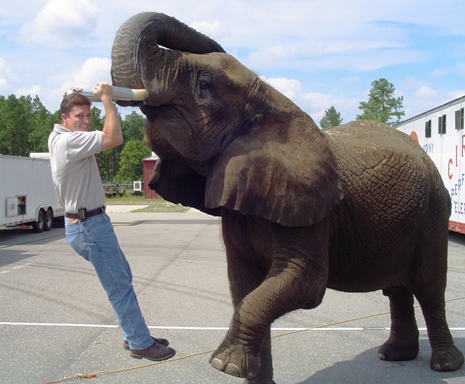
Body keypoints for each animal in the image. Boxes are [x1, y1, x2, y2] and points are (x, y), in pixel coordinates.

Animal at [110, 12, 462, 384]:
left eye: (204, 85)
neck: (271, 103)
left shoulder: (310, 210)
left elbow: (303, 284)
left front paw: (223, 365)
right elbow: (243, 287)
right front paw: (246, 371)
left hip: (434, 211)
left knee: (430, 287)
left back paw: (444, 364)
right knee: (398, 289)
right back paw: (394, 355)